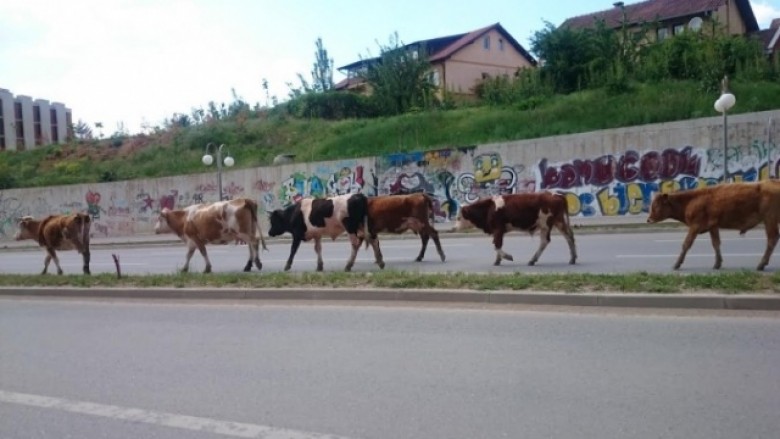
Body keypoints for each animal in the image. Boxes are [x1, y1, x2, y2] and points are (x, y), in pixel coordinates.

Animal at [450, 194, 580, 266]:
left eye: (458, 217)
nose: (453, 228)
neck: (489, 208)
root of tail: (556, 195)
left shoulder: (498, 229)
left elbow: (496, 245)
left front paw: (507, 257)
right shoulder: (498, 231)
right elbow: (497, 245)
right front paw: (497, 260)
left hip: (546, 224)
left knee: (545, 241)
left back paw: (533, 260)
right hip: (558, 222)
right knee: (569, 236)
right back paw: (572, 258)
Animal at [644, 180, 780, 270]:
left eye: (656, 205)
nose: (649, 219)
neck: (691, 200)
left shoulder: (695, 226)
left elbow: (686, 244)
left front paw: (677, 264)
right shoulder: (713, 226)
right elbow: (716, 244)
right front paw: (717, 263)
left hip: (770, 219)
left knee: (772, 239)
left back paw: (761, 264)